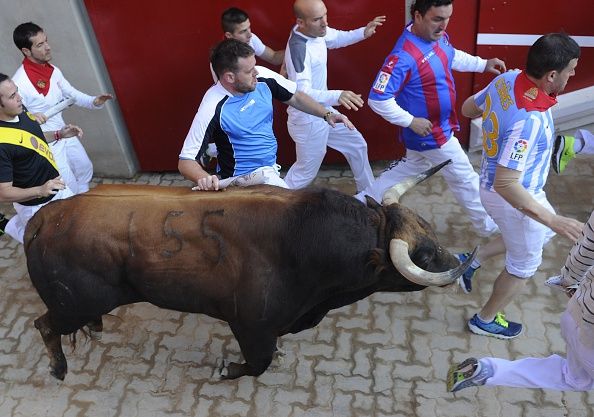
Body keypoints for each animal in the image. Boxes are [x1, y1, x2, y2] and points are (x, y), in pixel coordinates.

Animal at [25, 160, 474, 380]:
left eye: (431, 234)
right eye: (424, 256)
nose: (460, 264)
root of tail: (44, 219)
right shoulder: (250, 325)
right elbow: (257, 364)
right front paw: (229, 369)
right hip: (72, 304)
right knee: (43, 325)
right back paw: (59, 368)